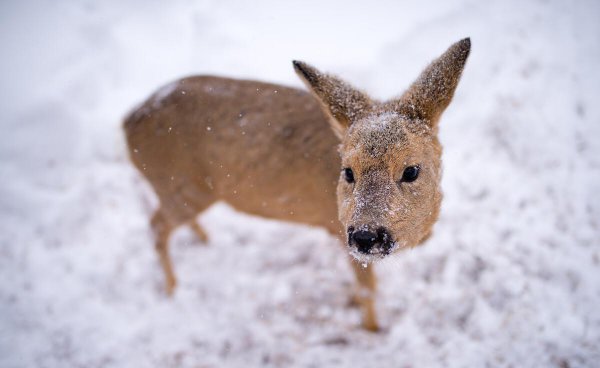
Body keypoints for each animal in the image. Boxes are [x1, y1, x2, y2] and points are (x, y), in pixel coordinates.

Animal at [125, 37, 474, 330]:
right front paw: (373, 329)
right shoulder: (339, 230)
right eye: (348, 172)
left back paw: (204, 240)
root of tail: (127, 122)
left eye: (411, 170)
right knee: (156, 225)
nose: (366, 236)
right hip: (183, 185)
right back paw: (173, 289)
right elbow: (368, 289)